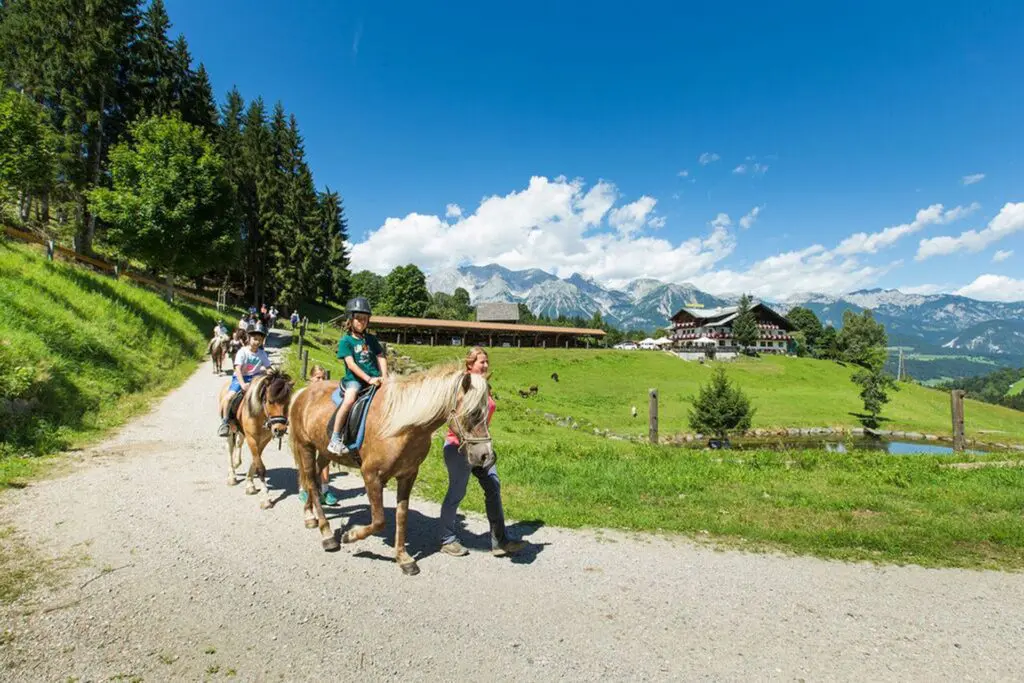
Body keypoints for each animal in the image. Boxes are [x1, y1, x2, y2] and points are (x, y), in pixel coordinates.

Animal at [218, 368, 294, 507]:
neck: (259, 415)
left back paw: (237, 463)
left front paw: (250, 485)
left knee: (238, 443)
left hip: (241, 432)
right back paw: (232, 476)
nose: (279, 429)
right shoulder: (252, 439)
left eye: (288, 403)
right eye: (270, 401)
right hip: (231, 430)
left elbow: (255, 461)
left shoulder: (263, 441)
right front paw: (265, 499)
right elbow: (260, 467)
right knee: (230, 448)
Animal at [288, 366, 495, 573]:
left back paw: (309, 516)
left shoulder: (408, 475)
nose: (487, 456)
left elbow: (401, 516)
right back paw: (327, 534)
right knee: (311, 482)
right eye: (474, 413)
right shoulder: (371, 475)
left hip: (324, 451)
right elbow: (379, 521)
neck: (401, 427)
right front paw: (350, 535)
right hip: (306, 446)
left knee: (313, 477)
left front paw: (403, 558)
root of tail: (303, 393)